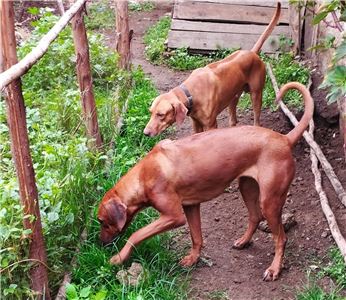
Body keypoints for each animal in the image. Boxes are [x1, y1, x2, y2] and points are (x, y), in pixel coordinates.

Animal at [97, 82, 314, 282]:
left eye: (102, 221)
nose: (101, 244)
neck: (143, 174)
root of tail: (284, 139)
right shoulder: (191, 206)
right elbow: (196, 237)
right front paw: (193, 259)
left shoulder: (173, 216)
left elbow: (136, 234)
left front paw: (118, 258)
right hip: (247, 188)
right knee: (255, 216)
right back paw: (244, 241)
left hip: (270, 200)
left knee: (281, 238)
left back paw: (275, 269)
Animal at [143, 2, 282, 137]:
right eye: (151, 112)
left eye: (161, 114)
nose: (146, 133)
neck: (191, 93)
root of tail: (252, 53)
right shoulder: (196, 123)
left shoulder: (211, 125)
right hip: (233, 96)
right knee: (233, 120)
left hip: (256, 95)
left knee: (256, 119)